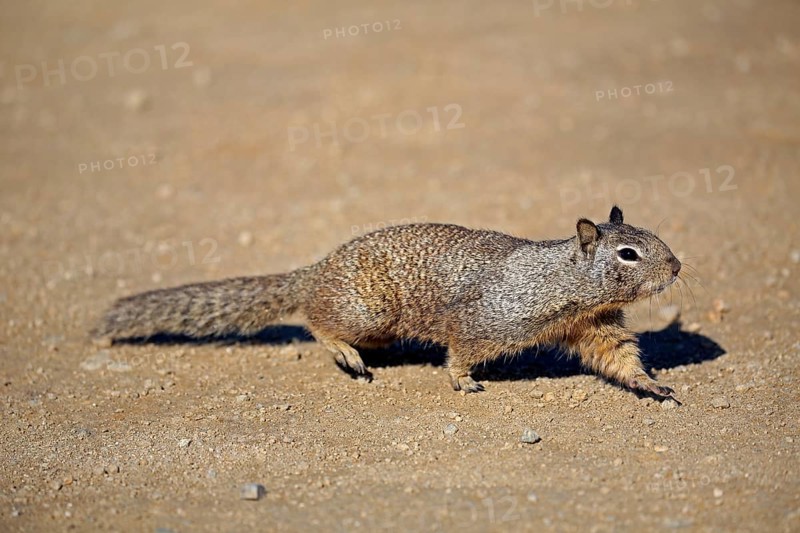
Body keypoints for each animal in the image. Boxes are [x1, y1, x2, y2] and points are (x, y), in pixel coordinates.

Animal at [93, 206, 681, 398]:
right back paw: (345, 354)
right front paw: (462, 380)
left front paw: (651, 385)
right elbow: (462, 347)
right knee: (315, 321)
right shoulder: (491, 318)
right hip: (367, 311)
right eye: (629, 253)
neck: (564, 281)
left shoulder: (598, 325)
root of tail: (317, 269)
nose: (677, 267)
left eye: (654, 237)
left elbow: (618, 357)